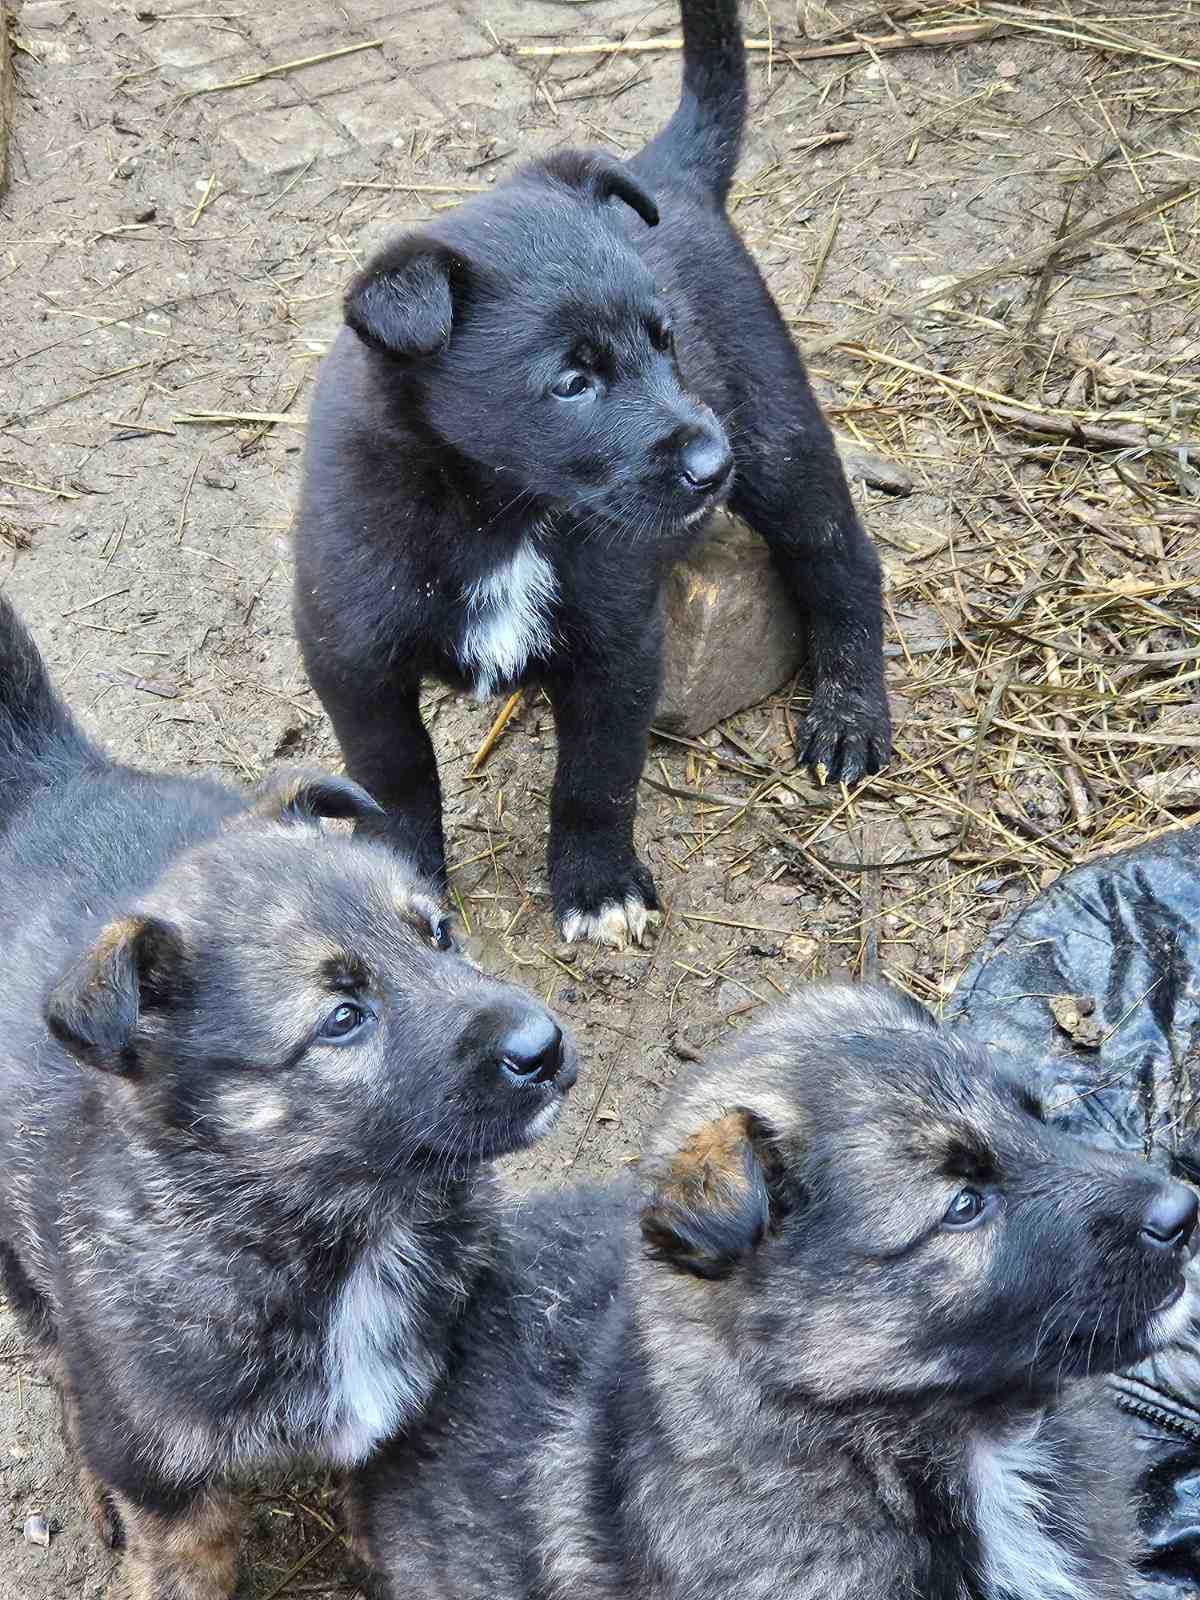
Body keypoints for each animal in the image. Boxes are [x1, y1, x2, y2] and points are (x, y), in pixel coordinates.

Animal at [0, 595, 579, 1600]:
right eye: (342, 1019)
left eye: (439, 933)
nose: (542, 1049)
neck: (346, 1235)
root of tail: (52, 778)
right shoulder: (173, 1495)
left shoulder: (405, 1421)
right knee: (57, 1353)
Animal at [292, 0, 896, 947]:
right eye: (571, 382)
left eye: (664, 339)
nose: (710, 465)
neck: (498, 512)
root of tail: (664, 174)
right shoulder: (351, 655)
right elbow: (394, 779)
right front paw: (400, 880)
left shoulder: (620, 643)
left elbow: (596, 780)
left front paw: (596, 885)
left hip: (779, 431)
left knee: (841, 559)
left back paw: (849, 714)